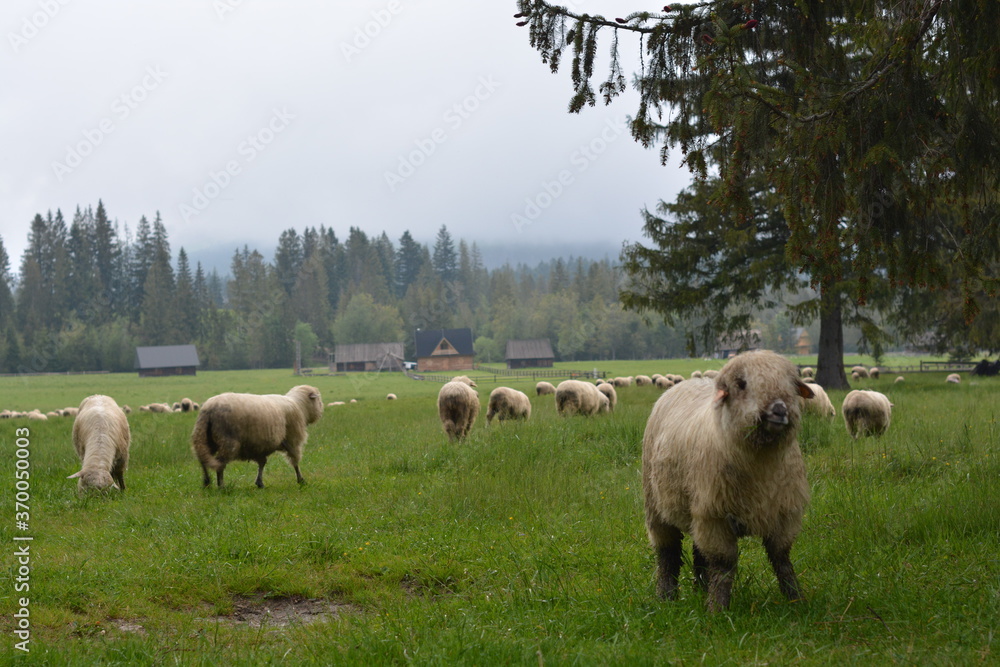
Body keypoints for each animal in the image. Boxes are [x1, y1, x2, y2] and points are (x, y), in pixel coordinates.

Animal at [191, 385, 323, 488]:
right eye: (318, 400)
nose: (322, 411)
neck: (300, 406)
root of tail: (209, 409)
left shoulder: (259, 446)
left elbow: (262, 463)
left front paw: (259, 483)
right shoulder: (292, 439)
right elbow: (295, 462)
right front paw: (301, 480)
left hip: (206, 438)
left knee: (203, 460)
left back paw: (207, 482)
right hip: (228, 440)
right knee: (220, 463)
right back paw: (221, 486)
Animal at [642, 350, 814, 611]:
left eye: (792, 385)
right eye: (741, 384)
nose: (779, 409)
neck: (761, 463)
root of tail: (689, 381)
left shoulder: (784, 512)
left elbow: (782, 558)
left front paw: (796, 599)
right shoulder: (716, 517)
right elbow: (723, 565)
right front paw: (717, 609)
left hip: (699, 507)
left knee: (698, 551)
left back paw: (701, 589)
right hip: (657, 504)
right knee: (667, 554)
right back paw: (666, 596)